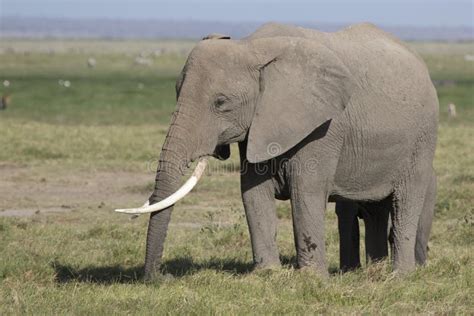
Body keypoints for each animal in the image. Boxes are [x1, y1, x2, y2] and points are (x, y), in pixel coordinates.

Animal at [115, 22, 436, 280]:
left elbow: (305, 192)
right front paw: (267, 274)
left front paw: (312, 279)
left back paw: (398, 277)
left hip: (423, 139)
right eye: (176, 92)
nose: (161, 277)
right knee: (377, 209)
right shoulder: (257, 126)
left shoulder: (324, 125)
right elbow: (252, 191)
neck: (251, 46)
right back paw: (371, 272)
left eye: (221, 103)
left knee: (406, 200)